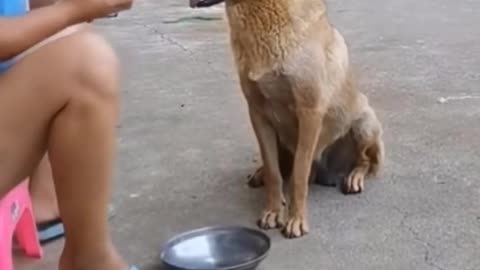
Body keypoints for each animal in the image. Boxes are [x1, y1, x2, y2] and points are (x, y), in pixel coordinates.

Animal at [189, 0, 384, 238]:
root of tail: (325, 172)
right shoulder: (257, 114)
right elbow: (274, 172)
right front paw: (273, 211)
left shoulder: (309, 111)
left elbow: (299, 174)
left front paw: (296, 219)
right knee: (279, 166)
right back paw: (261, 174)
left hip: (365, 121)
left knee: (365, 160)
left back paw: (354, 176)